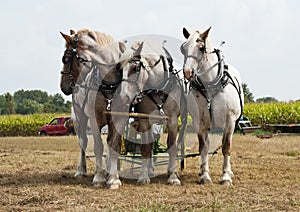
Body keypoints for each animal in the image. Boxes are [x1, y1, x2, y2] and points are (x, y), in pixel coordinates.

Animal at [59, 29, 125, 186]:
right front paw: (99, 177)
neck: (109, 84)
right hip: (80, 116)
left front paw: (113, 178)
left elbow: (114, 145)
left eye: (66, 59)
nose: (63, 86)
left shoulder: (119, 119)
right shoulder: (95, 120)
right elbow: (98, 146)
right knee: (83, 141)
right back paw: (81, 171)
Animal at [180, 26, 244, 186]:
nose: (188, 72)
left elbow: (226, 147)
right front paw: (204, 176)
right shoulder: (200, 122)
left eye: (201, 48)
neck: (211, 86)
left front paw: (226, 177)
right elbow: (203, 148)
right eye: (183, 48)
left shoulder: (229, 121)